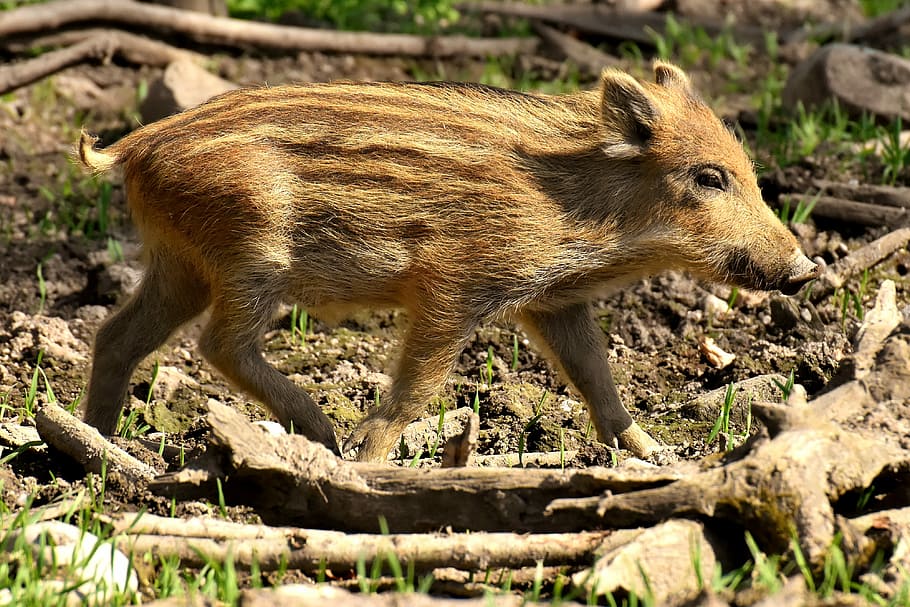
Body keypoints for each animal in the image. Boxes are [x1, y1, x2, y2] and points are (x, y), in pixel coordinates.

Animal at [77, 61, 819, 461]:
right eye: (710, 178)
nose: (806, 269)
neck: (581, 207)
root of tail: (132, 147)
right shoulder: (454, 284)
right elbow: (417, 388)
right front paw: (370, 462)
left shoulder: (555, 299)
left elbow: (598, 379)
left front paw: (661, 457)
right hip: (249, 255)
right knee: (219, 346)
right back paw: (321, 435)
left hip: (182, 263)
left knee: (117, 336)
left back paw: (99, 446)